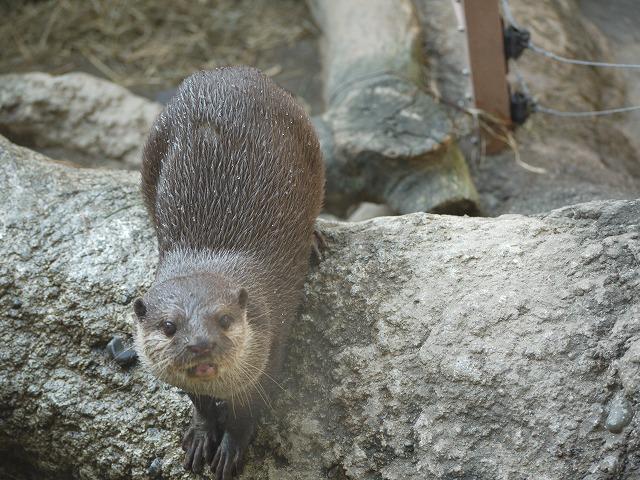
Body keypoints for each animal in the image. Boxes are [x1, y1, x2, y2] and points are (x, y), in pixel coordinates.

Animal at [132, 67, 324, 479]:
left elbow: (246, 414)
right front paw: (201, 434)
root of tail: (228, 72)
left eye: (223, 319)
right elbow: (200, 404)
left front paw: (230, 450)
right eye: (169, 326)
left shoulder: (270, 351)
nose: (200, 344)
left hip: (310, 142)